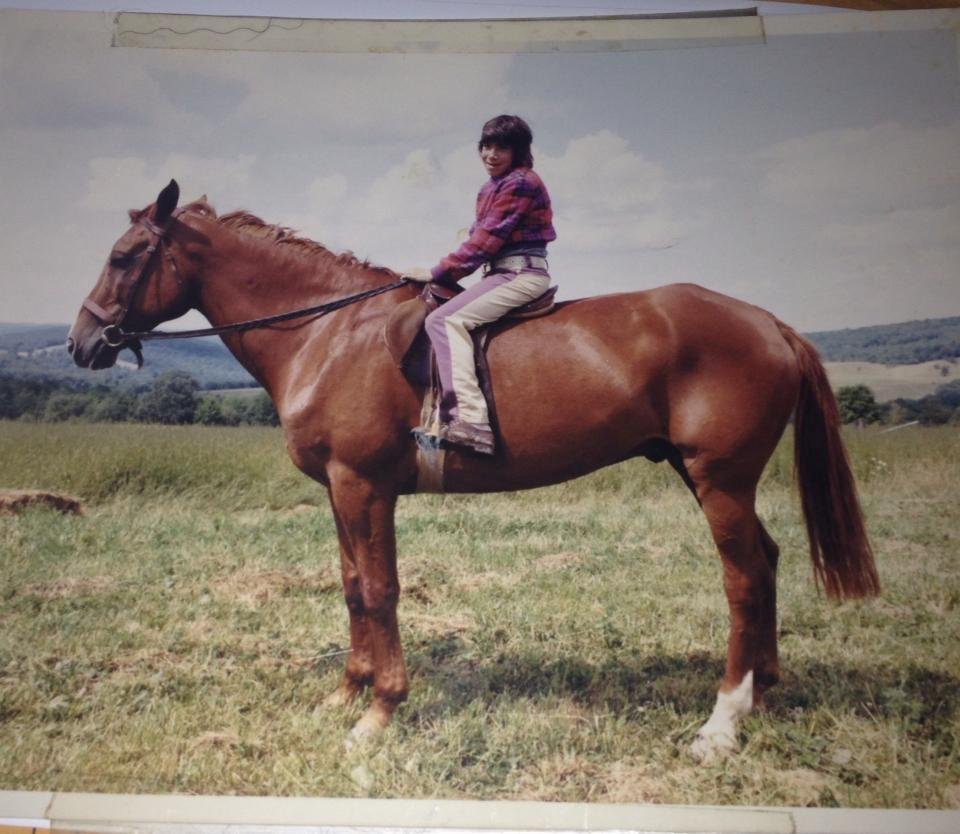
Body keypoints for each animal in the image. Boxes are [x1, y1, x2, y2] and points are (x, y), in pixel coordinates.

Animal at [68, 180, 879, 762]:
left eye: (125, 256)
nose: (80, 342)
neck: (328, 330)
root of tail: (769, 322)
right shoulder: (339, 491)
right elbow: (352, 589)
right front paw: (345, 695)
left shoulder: (365, 487)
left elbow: (382, 591)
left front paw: (379, 713)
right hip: (708, 476)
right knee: (767, 563)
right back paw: (762, 695)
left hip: (719, 481)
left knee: (743, 580)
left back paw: (720, 724)